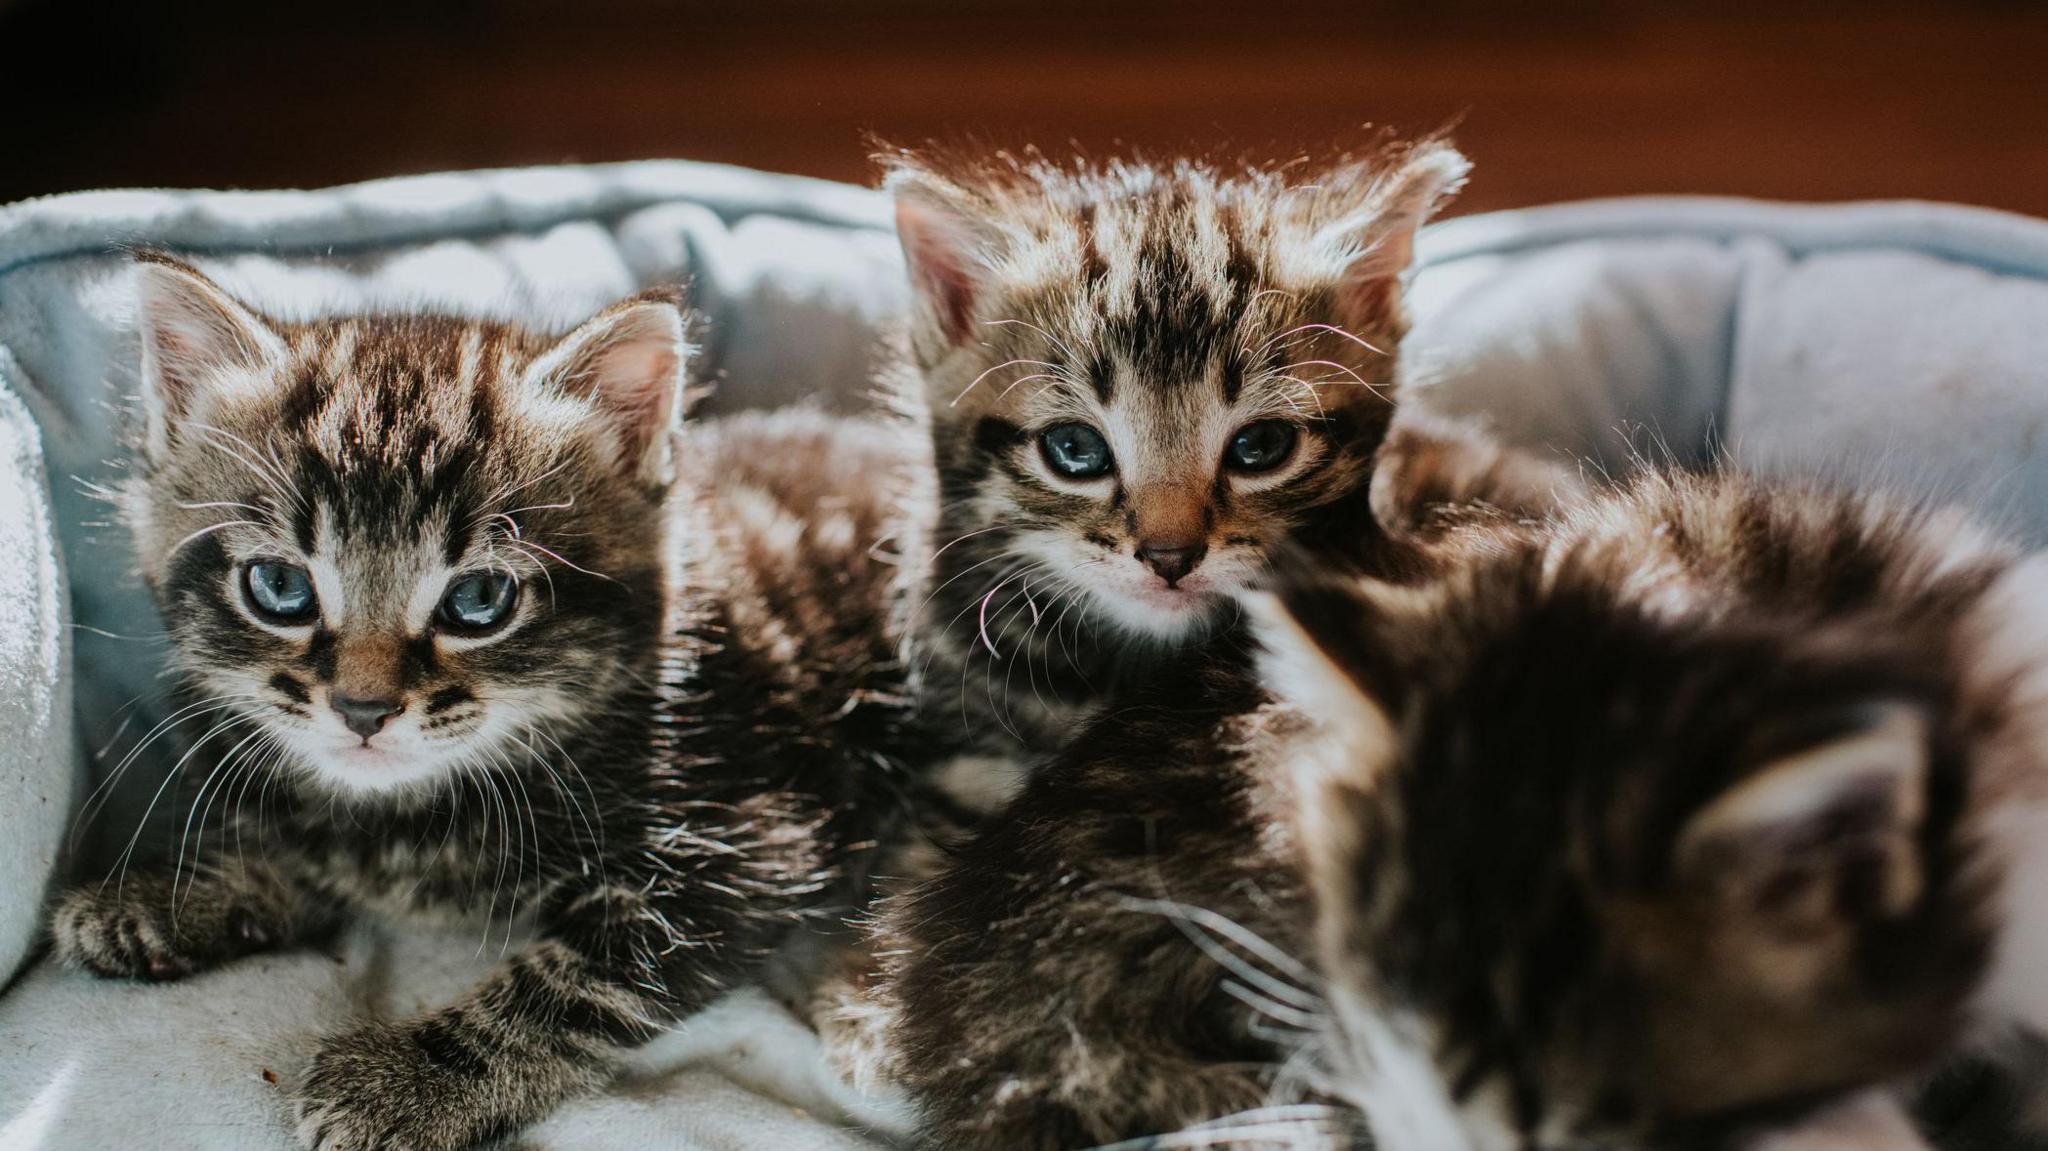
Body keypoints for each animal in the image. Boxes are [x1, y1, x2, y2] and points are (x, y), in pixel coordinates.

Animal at [49, 258, 942, 1146]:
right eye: (279, 587)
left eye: (479, 599)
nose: (363, 709)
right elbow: (318, 847)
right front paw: (166, 895)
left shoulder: (749, 842)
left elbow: (576, 983)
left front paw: (411, 1080)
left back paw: (875, 1011)